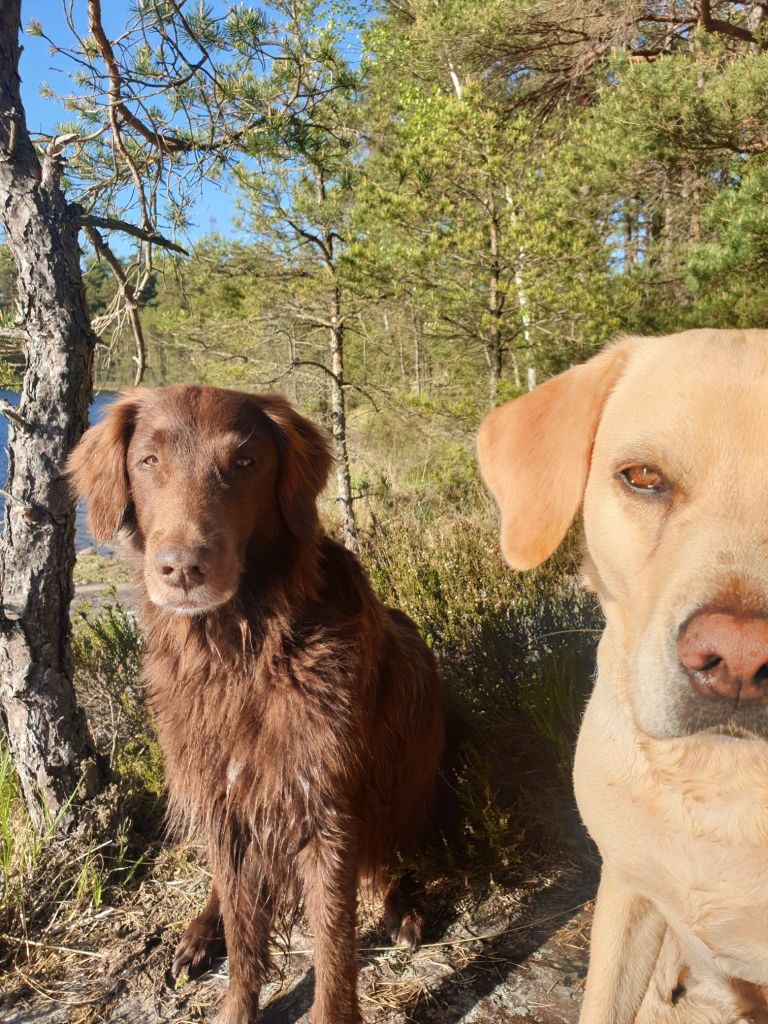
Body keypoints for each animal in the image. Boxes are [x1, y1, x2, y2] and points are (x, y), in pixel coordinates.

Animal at [67, 385, 443, 1024]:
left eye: (243, 462)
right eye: (148, 461)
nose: (182, 568)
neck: (238, 653)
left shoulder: (322, 806)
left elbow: (333, 946)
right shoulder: (226, 802)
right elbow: (245, 937)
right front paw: (235, 1000)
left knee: (385, 859)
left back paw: (401, 905)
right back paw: (199, 932)